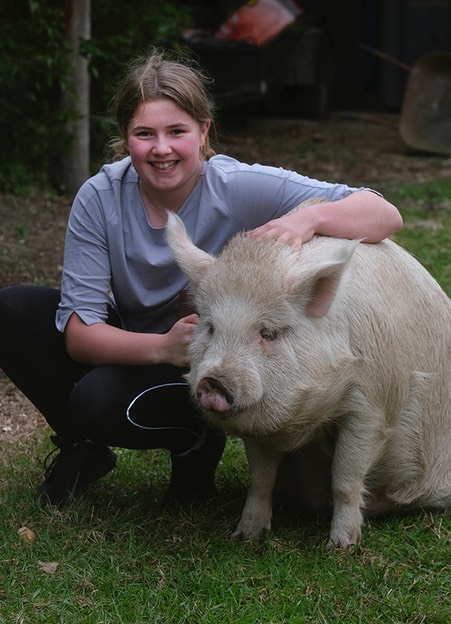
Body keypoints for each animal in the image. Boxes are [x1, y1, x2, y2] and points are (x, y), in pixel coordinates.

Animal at [166, 202, 451, 548]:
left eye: (268, 332)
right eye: (210, 327)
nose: (213, 382)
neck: (305, 422)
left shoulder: (371, 408)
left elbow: (345, 478)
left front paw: (341, 547)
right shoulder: (258, 427)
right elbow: (261, 478)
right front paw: (246, 537)